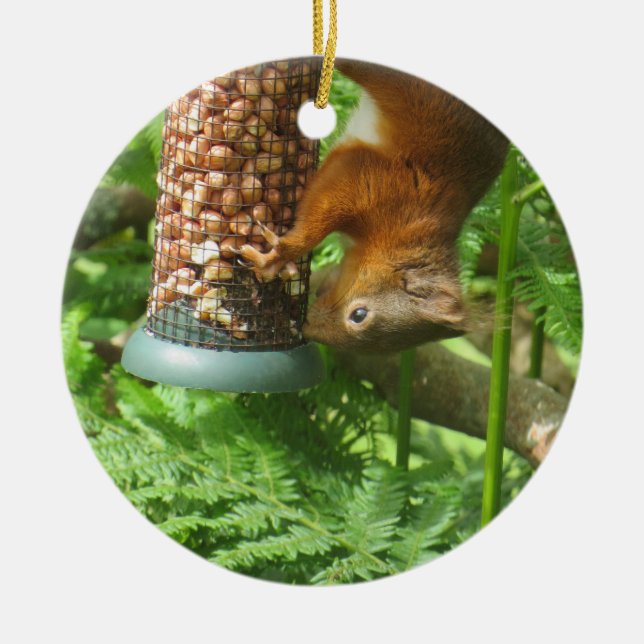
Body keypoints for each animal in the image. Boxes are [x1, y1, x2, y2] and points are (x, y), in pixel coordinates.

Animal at [240, 59, 509, 352]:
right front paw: (279, 255)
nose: (307, 329)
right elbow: (320, 213)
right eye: (359, 315)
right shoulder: (372, 181)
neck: (397, 241)